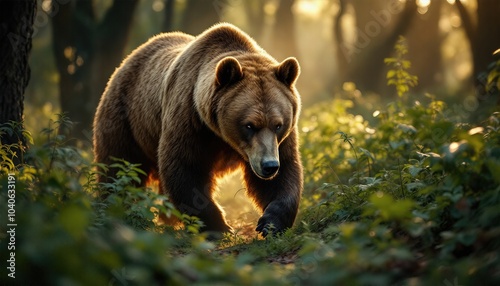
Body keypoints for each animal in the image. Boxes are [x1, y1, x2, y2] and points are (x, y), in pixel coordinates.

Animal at [94, 22, 304, 237]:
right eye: (249, 125)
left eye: (278, 124)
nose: (269, 165)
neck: (221, 135)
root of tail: (127, 60)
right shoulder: (190, 120)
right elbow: (185, 168)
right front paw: (219, 225)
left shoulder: (278, 142)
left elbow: (284, 173)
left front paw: (270, 223)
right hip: (127, 120)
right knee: (119, 167)